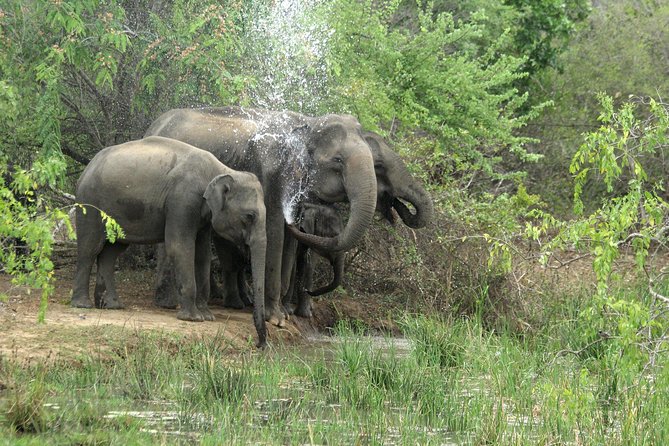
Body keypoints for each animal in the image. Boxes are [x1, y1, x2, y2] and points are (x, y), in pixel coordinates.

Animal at [68, 136, 266, 348]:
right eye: (249, 216)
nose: (259, 344)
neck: (220, 169)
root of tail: (88, 167)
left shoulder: (202, 216)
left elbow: (202, 254)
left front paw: (207, 316)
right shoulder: (182, 200)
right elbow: (180, 247)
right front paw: (193, 318)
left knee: (112, 252)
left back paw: (111, 306)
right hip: (90, 202)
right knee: (90, 248)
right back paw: (83, 304)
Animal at [144, 106, 378, 326]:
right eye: (338, 160)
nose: (295, 221)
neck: (308, 123)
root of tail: (152, 126)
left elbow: (288, 243)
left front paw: (283, 314)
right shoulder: (271, 176)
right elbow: (273, 231)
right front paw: (276, 319)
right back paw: (170, 303)